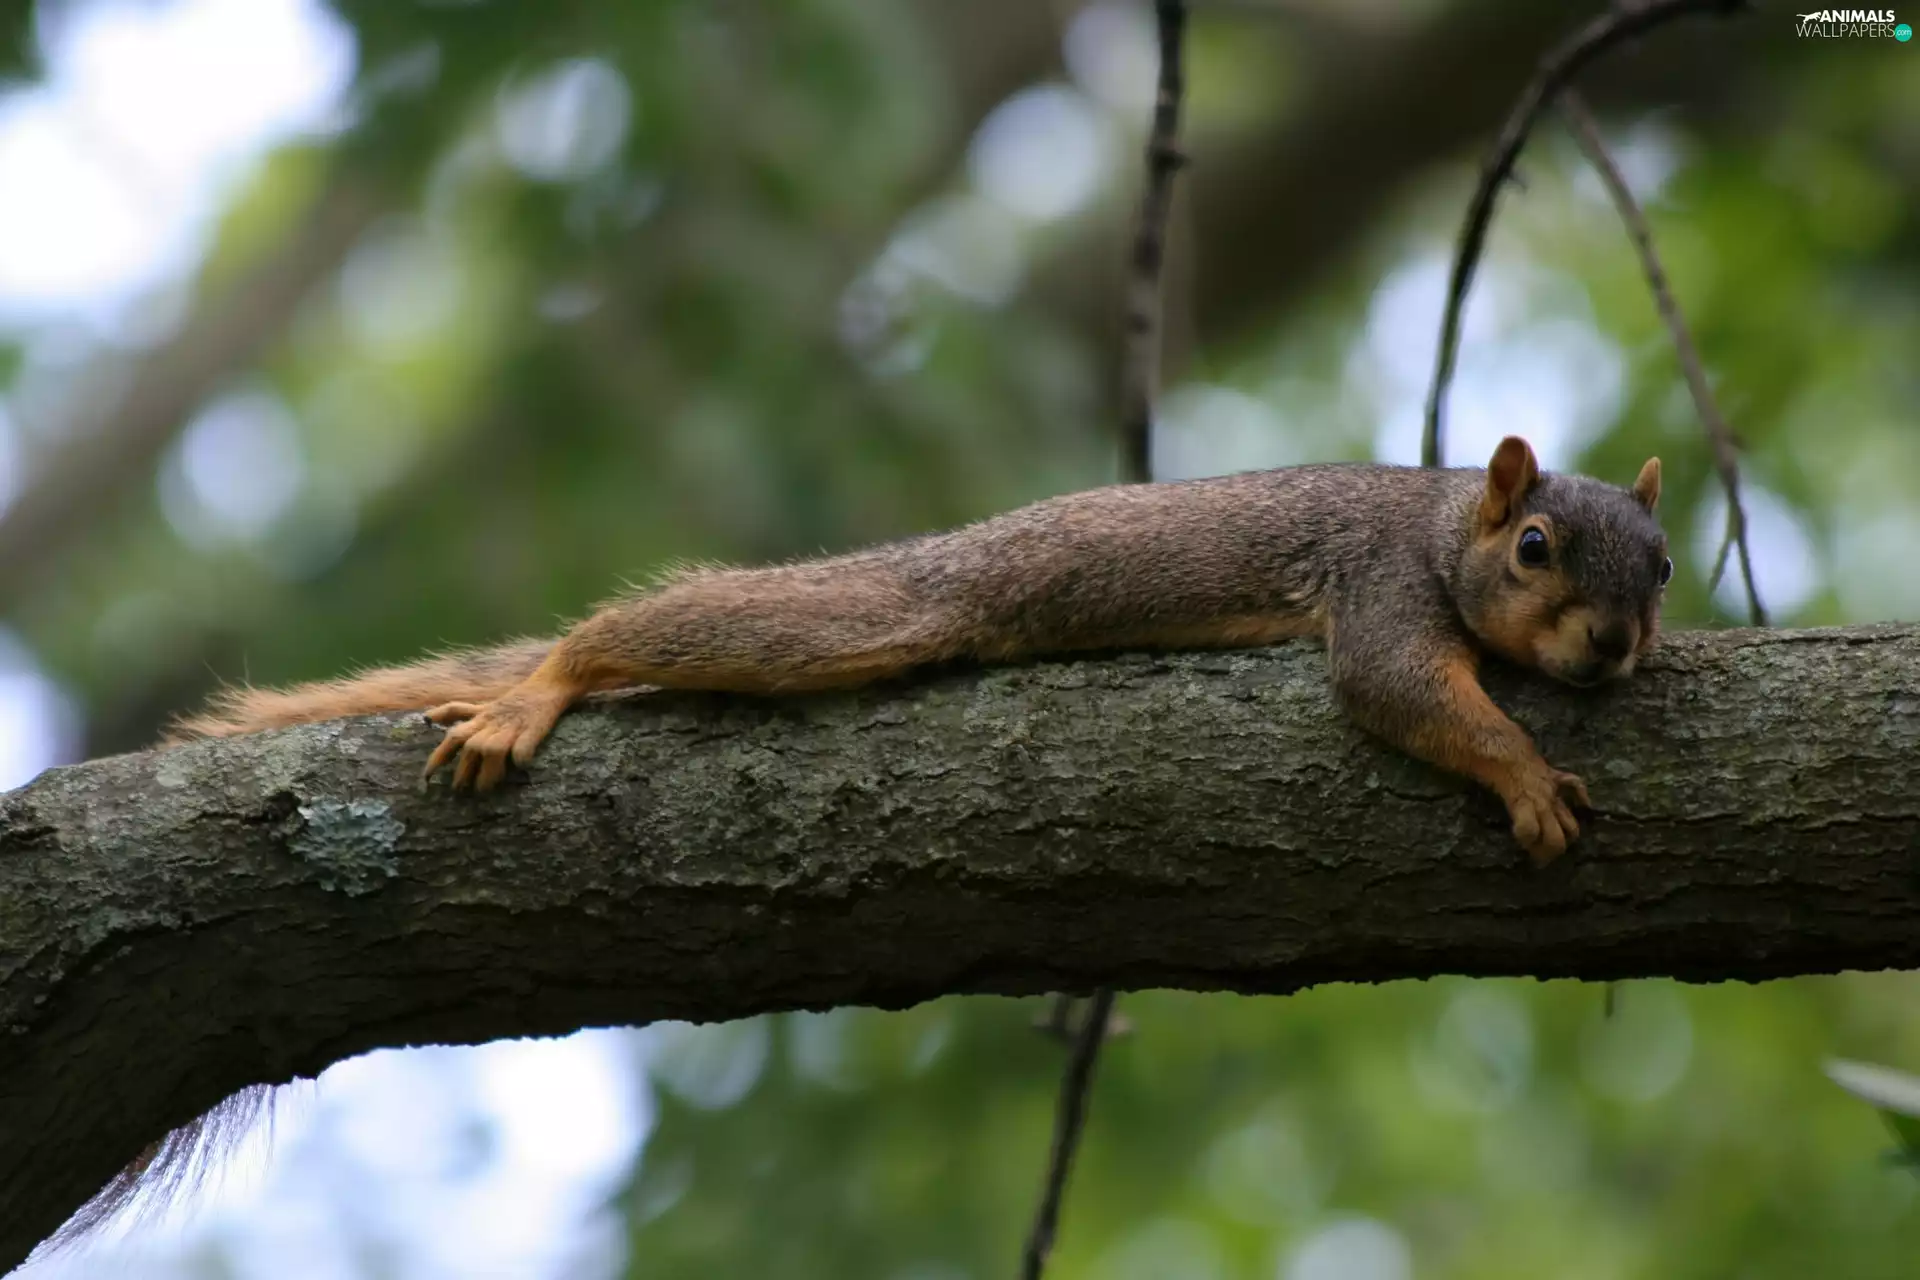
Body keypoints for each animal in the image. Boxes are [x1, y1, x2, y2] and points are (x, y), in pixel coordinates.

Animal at [168, 434, 1668, 865]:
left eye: (1662, 567)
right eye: (1535, 548)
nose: (1610, 645)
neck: (1440, 522)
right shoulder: (1377, 589)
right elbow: (1400, 689)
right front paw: (1525, 775)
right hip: (879, 613)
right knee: (639, 637)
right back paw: (535, 692)